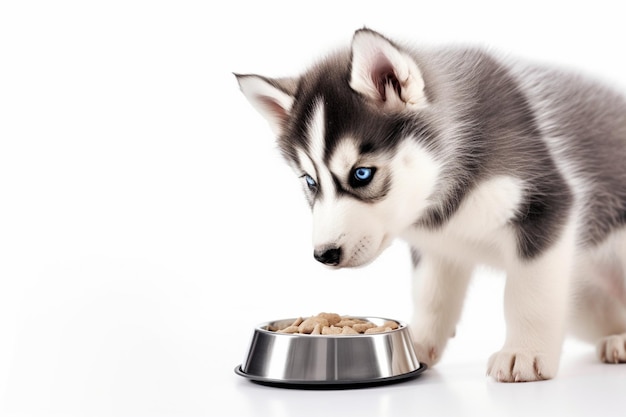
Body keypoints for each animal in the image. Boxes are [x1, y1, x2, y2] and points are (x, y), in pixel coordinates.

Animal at [234, 28, 624, 380]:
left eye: (361, 174)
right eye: (310, 182)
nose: (324, 255)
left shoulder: (545, 205)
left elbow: (528, 296)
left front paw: (523, 352)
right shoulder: (439, 246)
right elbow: (431, 296)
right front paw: (415, 345)